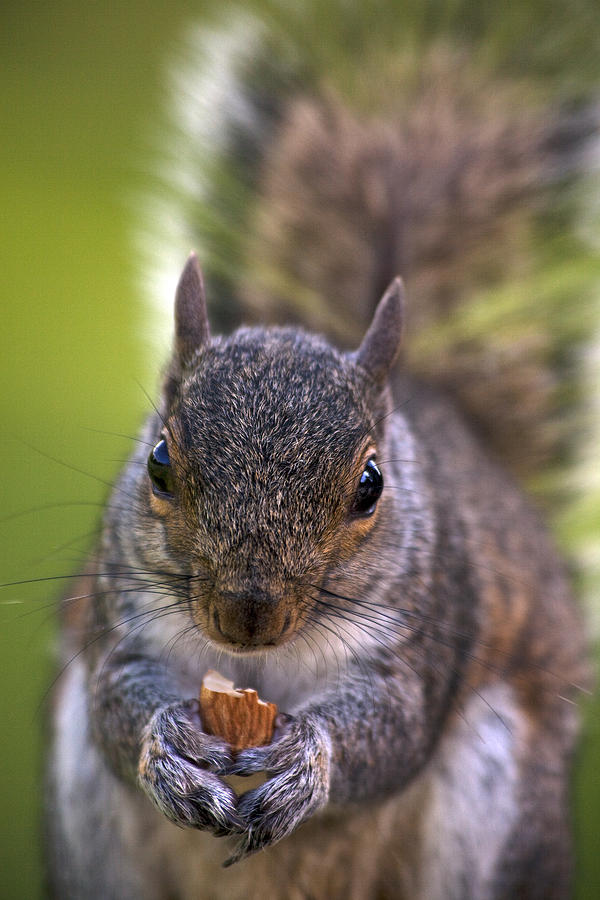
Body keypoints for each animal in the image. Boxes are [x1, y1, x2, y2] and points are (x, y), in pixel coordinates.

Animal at [44, 3, 596, 896]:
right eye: (159, 461)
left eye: (370, 485)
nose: (247, 612)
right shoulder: (120, 618)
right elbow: (113, 704)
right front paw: (165, 746)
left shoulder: (424, 635)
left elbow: (391, 733)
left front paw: (310, 761)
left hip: (498, 801)